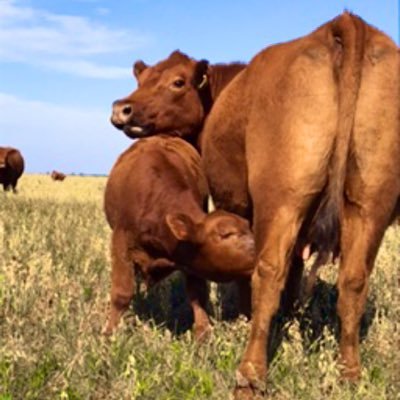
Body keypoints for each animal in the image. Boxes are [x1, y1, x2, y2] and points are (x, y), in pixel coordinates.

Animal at [102, 136, 253, 340]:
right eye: (226, 234)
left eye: (248, 228)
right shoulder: (121, 243)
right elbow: (121, 293)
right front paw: (109, 333)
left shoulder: (189, 255)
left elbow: (197, 293)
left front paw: (203, 333)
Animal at [198, 11, 398, 396]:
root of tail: (341, 24)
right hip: (369, 203)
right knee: (353, 281)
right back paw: (349, 375)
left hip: (283, 200)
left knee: (268, 271)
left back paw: (250, 376)